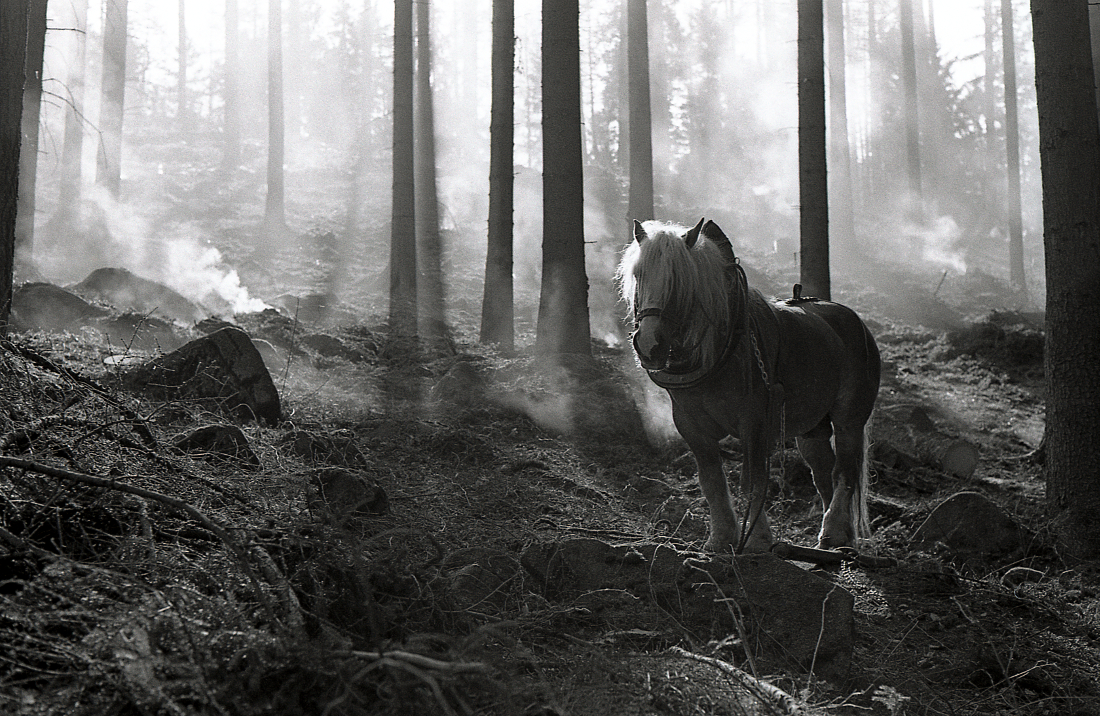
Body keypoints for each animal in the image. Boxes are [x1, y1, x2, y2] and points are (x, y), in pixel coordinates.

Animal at [617, 218, 881, 554]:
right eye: (639, 275)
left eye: (679, 280)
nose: (650, 345)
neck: (718, 351)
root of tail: (855, 322)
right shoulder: (690, 425)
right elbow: (712, 480)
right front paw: (720, 537)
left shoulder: (754, 422)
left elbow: (754, 479)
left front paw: (757, 538)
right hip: (812, 428)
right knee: (823, 474)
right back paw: (838, 534)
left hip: (850, 418)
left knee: (844, 471)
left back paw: (834, 531)